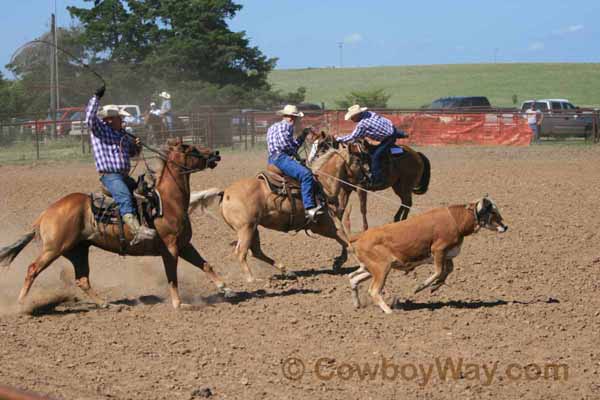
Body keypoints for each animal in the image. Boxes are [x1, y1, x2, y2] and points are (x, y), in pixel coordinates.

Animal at [0, 138, 230, 310]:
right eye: (191, 149)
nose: (216, 153)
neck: (168, 201)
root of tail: (45, 214)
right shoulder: (170, 248)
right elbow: (172, 276)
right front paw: (178, 303)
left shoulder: (184, 245)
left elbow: (206, 264)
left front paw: (225, 288)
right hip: (54, 248)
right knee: (32, 269)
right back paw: (21, 305)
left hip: (78, 251)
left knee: (82, 279)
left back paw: (105, 304)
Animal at [190, 146, 364, 282]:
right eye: (357, 160)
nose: (366, 180)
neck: (322, 185)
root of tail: (225, 192)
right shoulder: (325, 225)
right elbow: (347, 241)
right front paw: (356, 264)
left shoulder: (325, 227)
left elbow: (345, 241)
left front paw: (339, 262)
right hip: (246, 228)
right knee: (241, 252)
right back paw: (252, 279)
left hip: (253, 229)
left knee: (256, 252)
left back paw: (286, 270)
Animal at [338, 198, 506, 314]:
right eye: (493, 211)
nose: (505, 227)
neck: (456, 220)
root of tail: (360, 236)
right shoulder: (438, 250)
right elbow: (439, 271)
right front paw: (420, 287)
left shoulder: (446, 255)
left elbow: (448, 270)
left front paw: (435, 286)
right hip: (381, 268)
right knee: (373, 290)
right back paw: (389, 311)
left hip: (369, 268)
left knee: (353, 278)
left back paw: (358, 304)